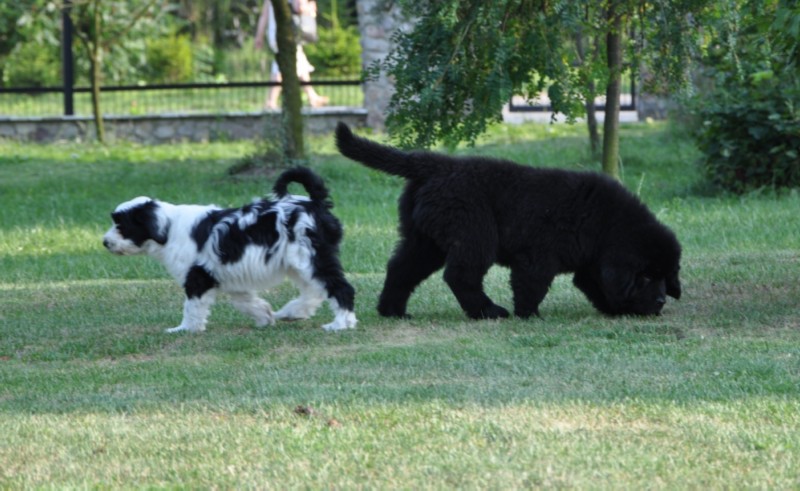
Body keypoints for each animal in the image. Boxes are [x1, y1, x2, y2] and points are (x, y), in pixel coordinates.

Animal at [103, 166, 357, 332]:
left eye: (121, 225)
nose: (105, 242)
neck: (169, 227)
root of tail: (314, 203)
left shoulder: (197, 277)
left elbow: (192, 306)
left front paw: (185, 329)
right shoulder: (229, 275)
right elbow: (246, 301)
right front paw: (264, 316)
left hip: (310, 257)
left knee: (339, 287)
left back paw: (341, 323)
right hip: (299, 262)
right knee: (314, 290)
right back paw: (292, 312)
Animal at [335, 122, 681, 319]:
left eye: (665, 275)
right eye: (645, 276)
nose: (661, 300)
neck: (607, 224)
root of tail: (438, 165)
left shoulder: (591, 262)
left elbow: (597, 285)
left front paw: (616, 309)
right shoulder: (539, 256)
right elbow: (532, 285)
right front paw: (529, 314)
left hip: (425, 239)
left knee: (401, 268)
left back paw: (393, 311)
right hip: (474, 233)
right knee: (460, 276)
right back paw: (489, 312)